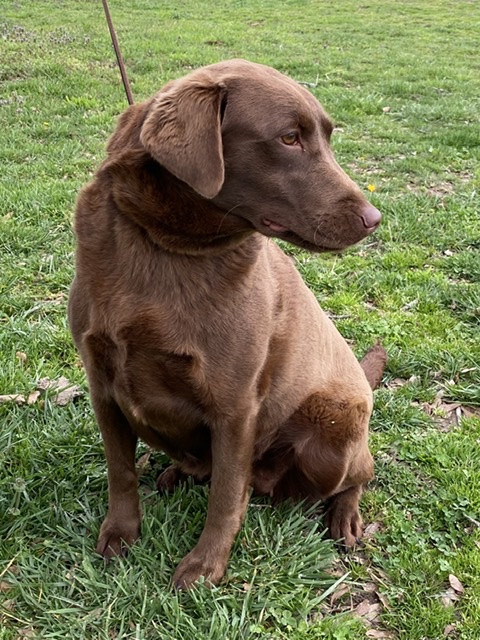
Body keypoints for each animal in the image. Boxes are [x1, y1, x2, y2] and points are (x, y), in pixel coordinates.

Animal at [69, 60, 386, 592]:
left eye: (326, 136)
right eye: (289, 138)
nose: (373, 218)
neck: (166, 244)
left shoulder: (235, 405)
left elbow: (225, 497)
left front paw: (204, 566)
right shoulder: (103, 388)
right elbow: (121, 472)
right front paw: (120, 533)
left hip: (333, 431)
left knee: (360, 472)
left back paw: (344, 516)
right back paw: (180, 473)